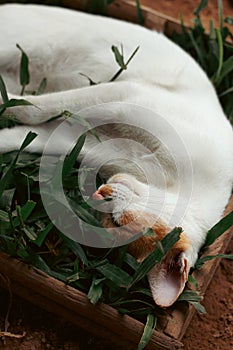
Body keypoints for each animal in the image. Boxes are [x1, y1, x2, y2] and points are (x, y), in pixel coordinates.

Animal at [0, 4, 233, 308]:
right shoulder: (125, 95)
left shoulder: (75, 138)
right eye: (122, 221)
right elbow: (33, 107)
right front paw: (3, 101)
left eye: (113, 223)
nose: (101, 194)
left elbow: (27, 132)